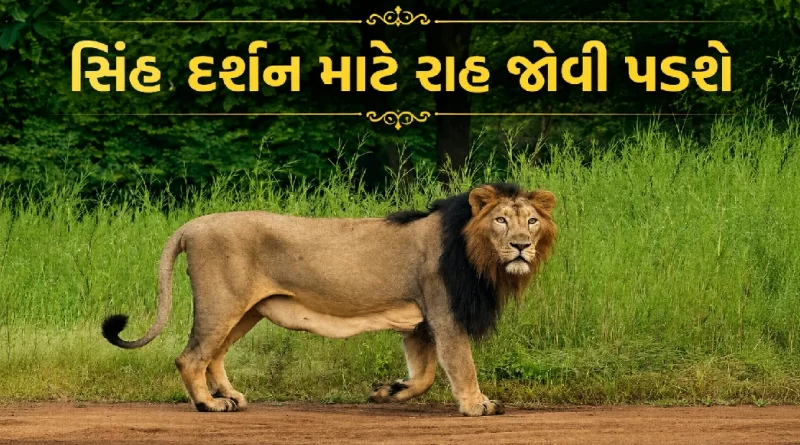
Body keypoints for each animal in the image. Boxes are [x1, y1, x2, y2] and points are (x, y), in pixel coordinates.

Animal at [102, 182, 557, 416]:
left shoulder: (419, 321)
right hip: (222, 302)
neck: (477, 254)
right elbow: (462, 364)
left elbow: (424, 374)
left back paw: (229, 396)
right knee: (191, 356)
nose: (521, 246)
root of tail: (191, 225)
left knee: (213, 355)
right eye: (501, 220)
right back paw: (208, 405)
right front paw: (478, 405)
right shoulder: (444, 312)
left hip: (245, 311)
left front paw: (388, 391)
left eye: (532, 221)